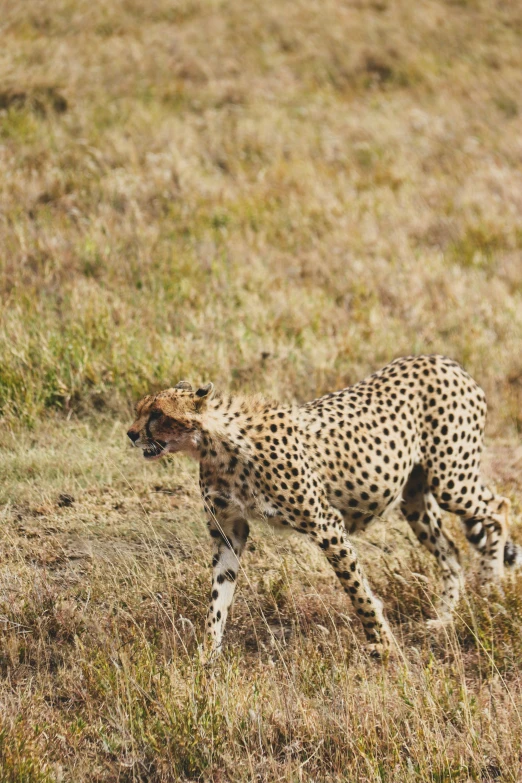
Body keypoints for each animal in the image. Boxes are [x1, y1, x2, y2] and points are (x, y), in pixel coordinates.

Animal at [128, 358, 516, 660]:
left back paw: (491, 588)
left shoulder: (326, 524)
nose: (131, 434)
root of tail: (444, 360)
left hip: (450, 481)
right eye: (139, 410)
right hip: (415, 499)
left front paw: (383, 645)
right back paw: (444, 617)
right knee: (451, 551)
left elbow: (357, 589)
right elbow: (218, 597)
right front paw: (207, 654)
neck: (214, 444)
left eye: (157, 414)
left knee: (499, 506)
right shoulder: (228, 533)